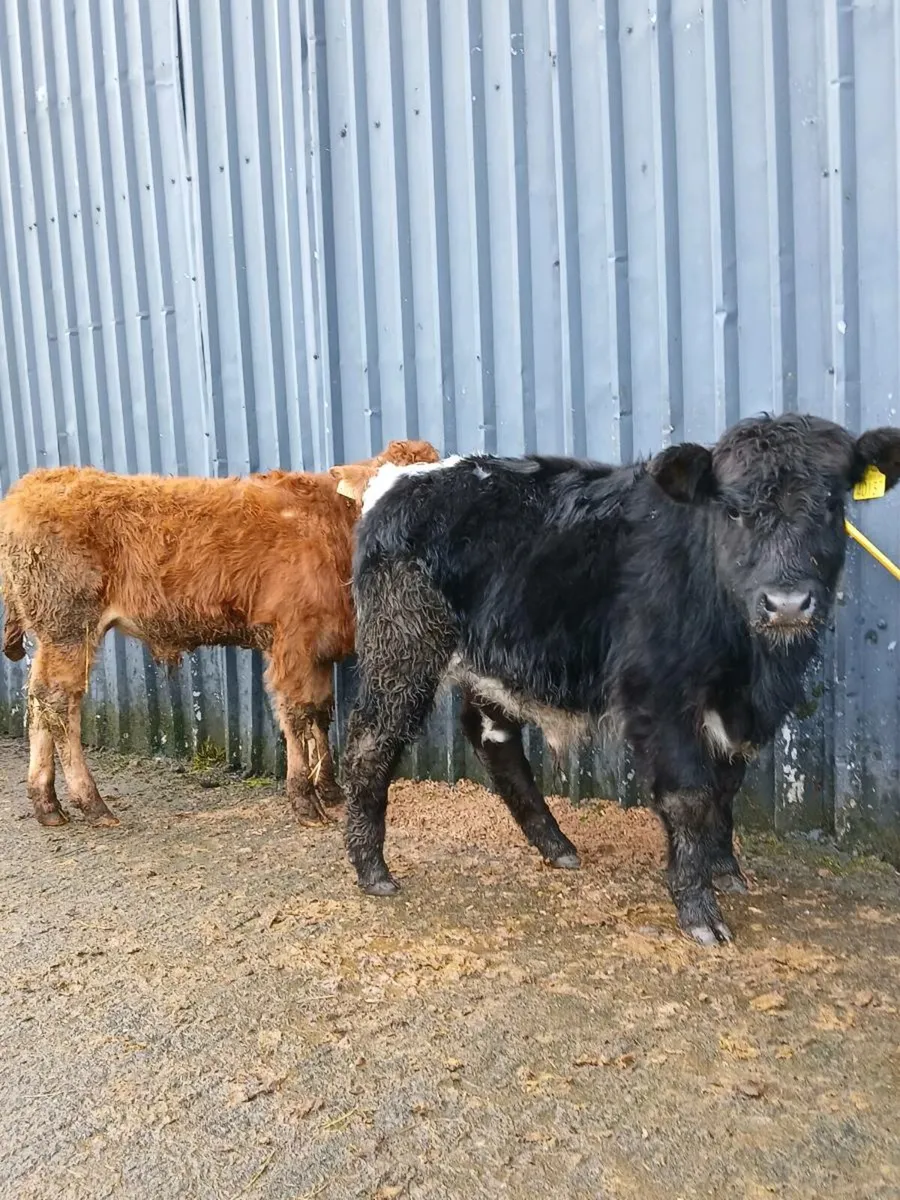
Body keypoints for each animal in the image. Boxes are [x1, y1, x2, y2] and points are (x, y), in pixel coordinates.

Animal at [0, 439, 438, 830]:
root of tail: (34, 484)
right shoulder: (292, 641)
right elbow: (296, 714)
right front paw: (305, 801)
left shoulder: (319, 646)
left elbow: (320, 712)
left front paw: (329, 790)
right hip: (69, 626)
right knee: (59, 703)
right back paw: (91, 803)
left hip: (51, 634)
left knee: (38, 702)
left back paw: (47, 804)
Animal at [339, 415, 900, 945]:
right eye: (733, 509)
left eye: (832, 504)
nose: (786, 604)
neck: (752, 669)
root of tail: (406, 478)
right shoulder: (658, 695)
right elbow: (690, 795)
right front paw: (699, 911)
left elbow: (725, 787)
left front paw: (725, 870)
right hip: (402, 648)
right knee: (371, 740)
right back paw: (373, 870)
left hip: (491, 661)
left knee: (495, 743)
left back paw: (557, 846)